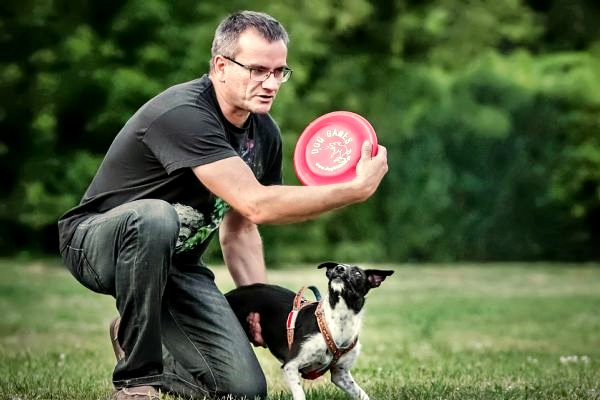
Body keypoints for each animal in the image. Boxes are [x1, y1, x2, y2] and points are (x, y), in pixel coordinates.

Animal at [225, 262, 394, 400]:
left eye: (358, 273)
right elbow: (300, 394)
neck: (338, 321)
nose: (339, 268)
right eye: (336, 267)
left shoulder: (340, 374)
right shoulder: (290, 365)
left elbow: (362, 394)